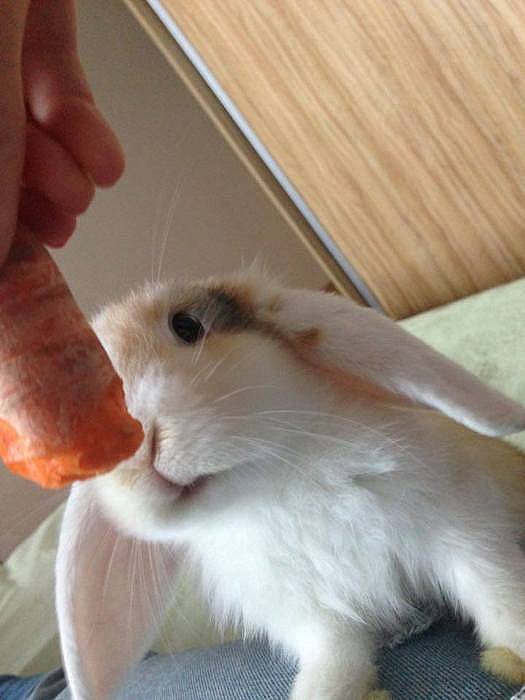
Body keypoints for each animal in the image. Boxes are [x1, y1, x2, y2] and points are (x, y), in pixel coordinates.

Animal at [56, 271, 525, 700]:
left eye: (187, 325)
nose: (135, 448)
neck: (270, 488)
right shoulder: (317, 620)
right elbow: (334, 661)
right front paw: (327, 689)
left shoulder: (462, 531)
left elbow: (496, 590)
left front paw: (516, 649)